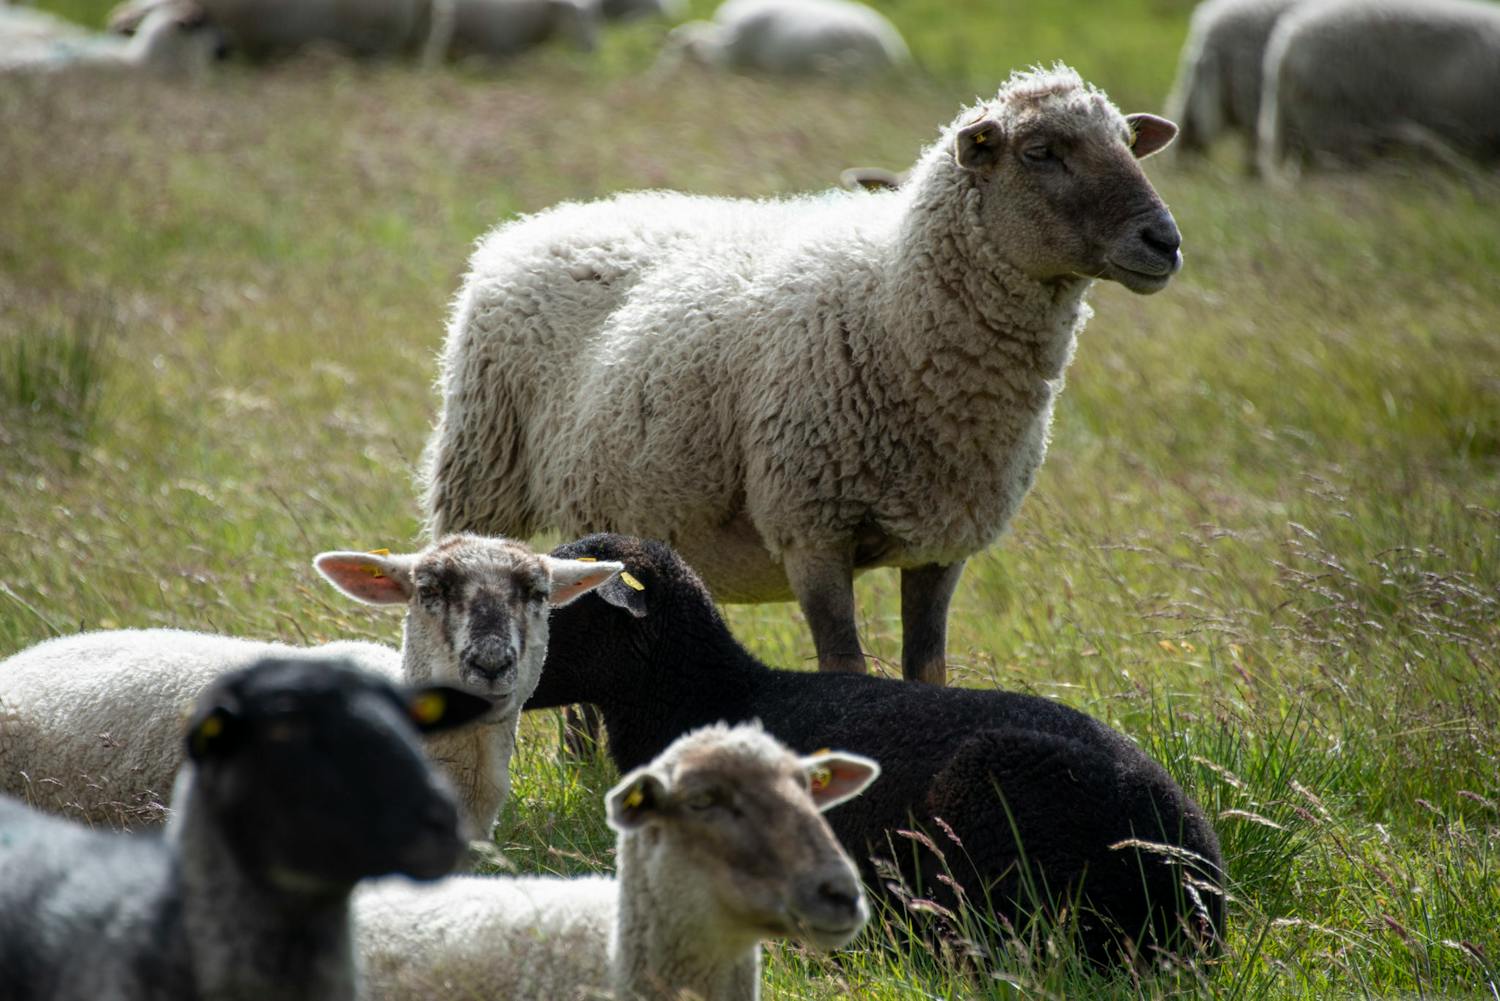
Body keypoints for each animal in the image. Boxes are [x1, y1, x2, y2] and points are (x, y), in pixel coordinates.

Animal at [423, 64, 1182, 686]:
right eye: (1040, 152)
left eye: (1127, 140)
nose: (1166, 241)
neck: (894, 304)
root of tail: (536, 223)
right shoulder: (811, 525)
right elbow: (844, 665)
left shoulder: (942, 544)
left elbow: (928, 670)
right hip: (480, 474)